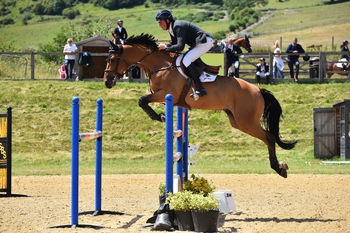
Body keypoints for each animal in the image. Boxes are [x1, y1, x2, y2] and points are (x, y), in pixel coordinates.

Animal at [103, 33, 296, 178]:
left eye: (112, 58)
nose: (107, 81)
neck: (161, 66)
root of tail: (258, 89)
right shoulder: (162, 96)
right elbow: (143, 100)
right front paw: (160, 116)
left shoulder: (165, 94)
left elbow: (142, 100)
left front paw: (160, 116)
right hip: (237, 121)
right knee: (267, 136)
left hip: (246, 121)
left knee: (269, 137)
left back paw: (278, 167)